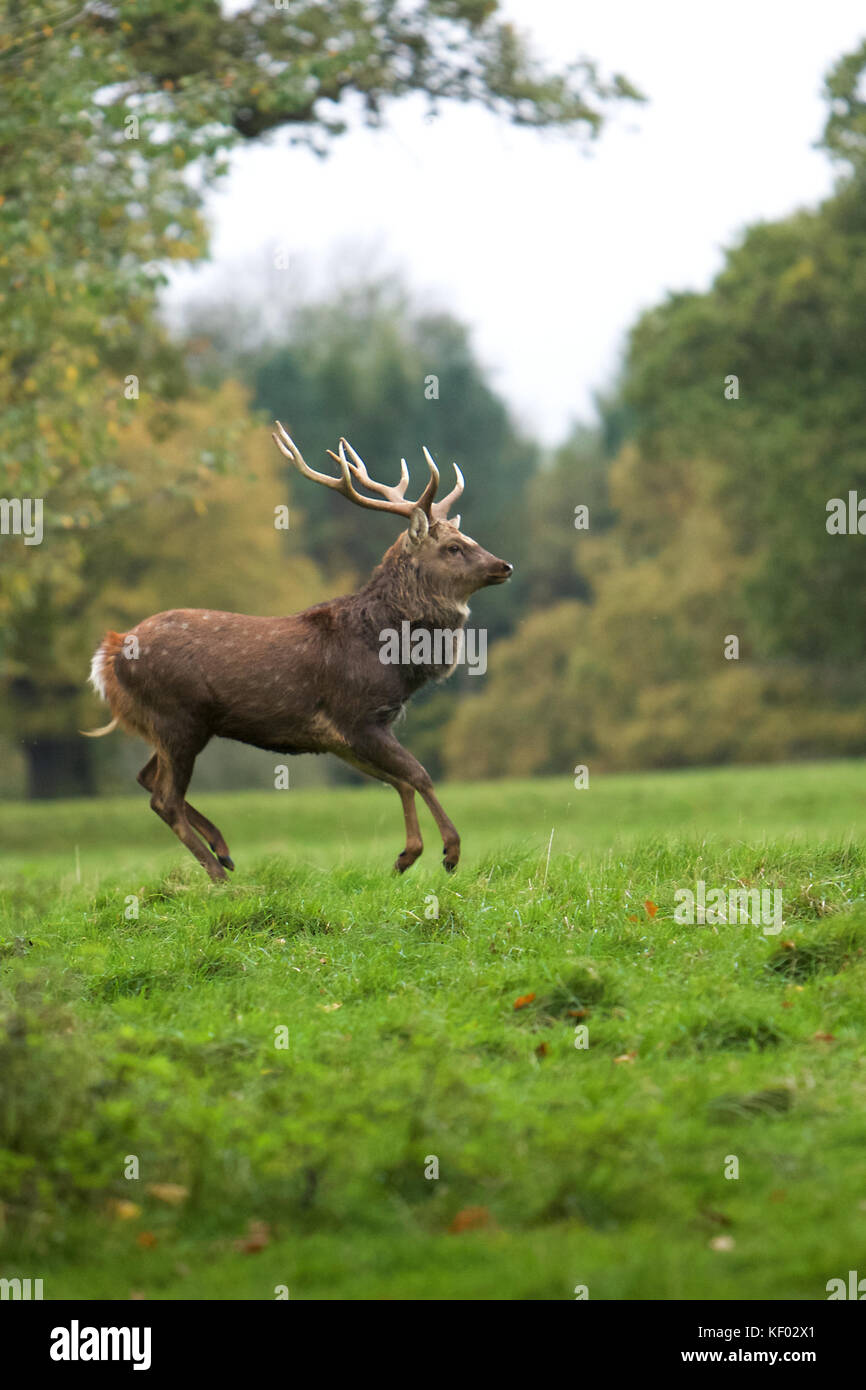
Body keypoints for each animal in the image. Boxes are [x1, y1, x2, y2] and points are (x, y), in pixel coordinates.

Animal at [83, 419, 508, 878]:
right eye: (453, 547)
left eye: (468, 537)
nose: (504, 566)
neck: (392, 658)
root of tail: (109, 654)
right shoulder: (356, 715)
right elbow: (420, 774)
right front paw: (449, 851)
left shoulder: (345, 736)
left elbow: (399, 780)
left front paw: (406, 855)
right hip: (177, 717)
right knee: (164, 798)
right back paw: (220, 875)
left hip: (170, 724)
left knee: (148, 780)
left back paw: (223, 850)